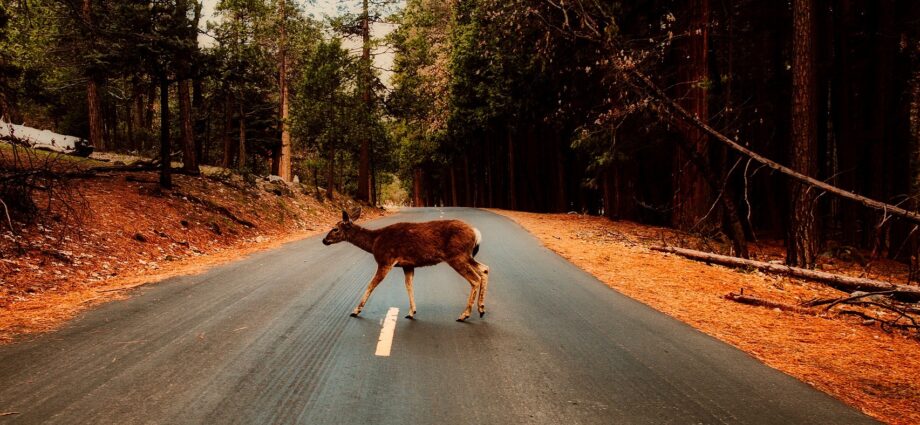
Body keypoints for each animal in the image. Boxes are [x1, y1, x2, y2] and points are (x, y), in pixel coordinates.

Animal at [322, 206, 488, 322]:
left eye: (335, 229)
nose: (324, 240)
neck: (375, 241)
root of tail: (476, 232)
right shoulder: (408, 265)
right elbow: (409, 285)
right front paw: (411, 312)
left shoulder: (386, 260)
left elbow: (371, 284)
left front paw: (355, 311)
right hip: (466, 255)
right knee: (484, 269)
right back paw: (481, 309)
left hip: (457, 255)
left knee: (475, 279)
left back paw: (464, 315)